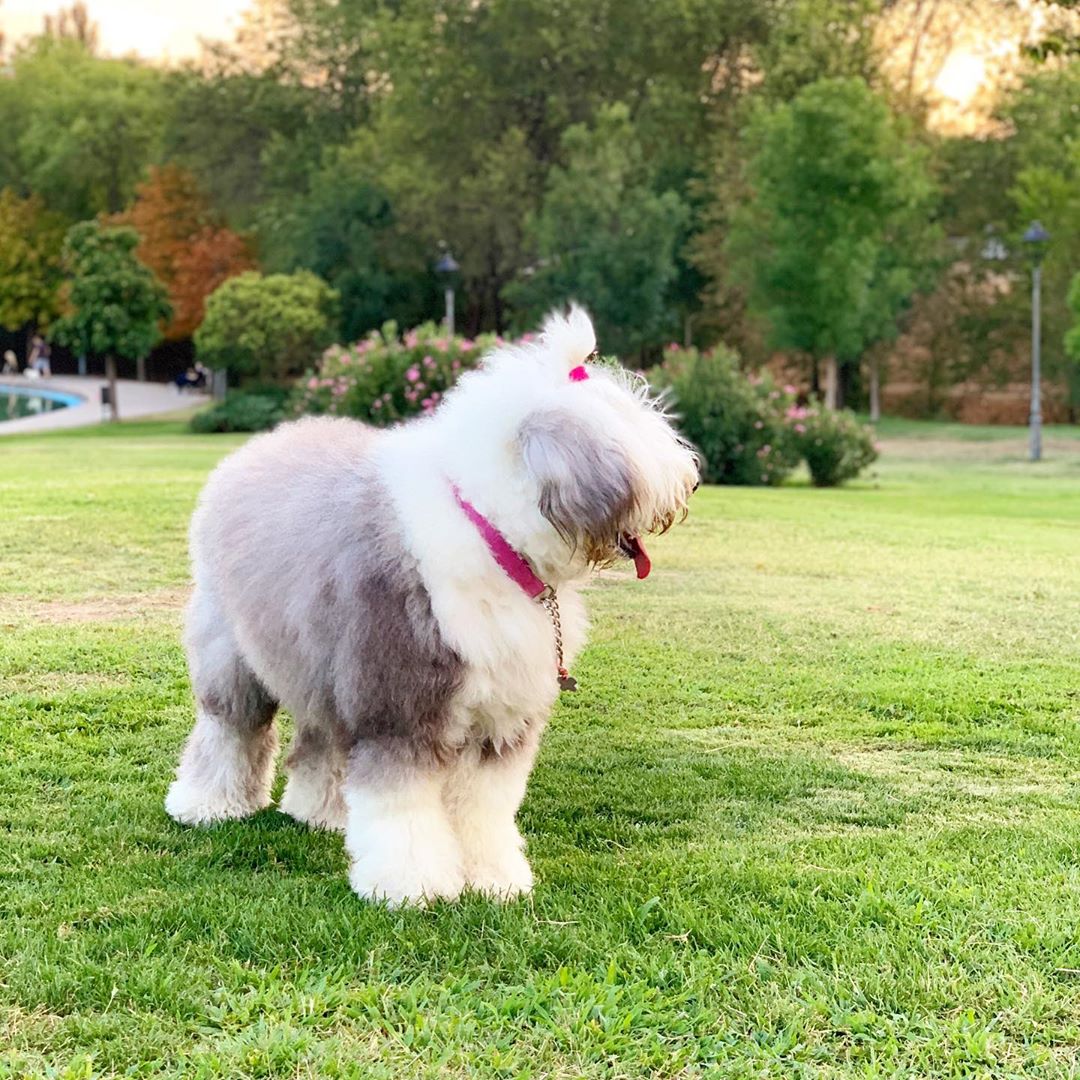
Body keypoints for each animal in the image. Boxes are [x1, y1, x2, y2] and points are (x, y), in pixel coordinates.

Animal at [164, 306, 695, 902]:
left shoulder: (499, 717)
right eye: (637, 431)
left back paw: (319, 813)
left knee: (322, 738)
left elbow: (483, 808)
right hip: (236, 652)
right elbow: (404, 807)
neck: (491, 531)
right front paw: (412, 885)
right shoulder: (399, 701)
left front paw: (494, 881)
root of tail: (253, 449)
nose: (692, 479)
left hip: (321, 665)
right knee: (230, 729)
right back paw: (206, 805)